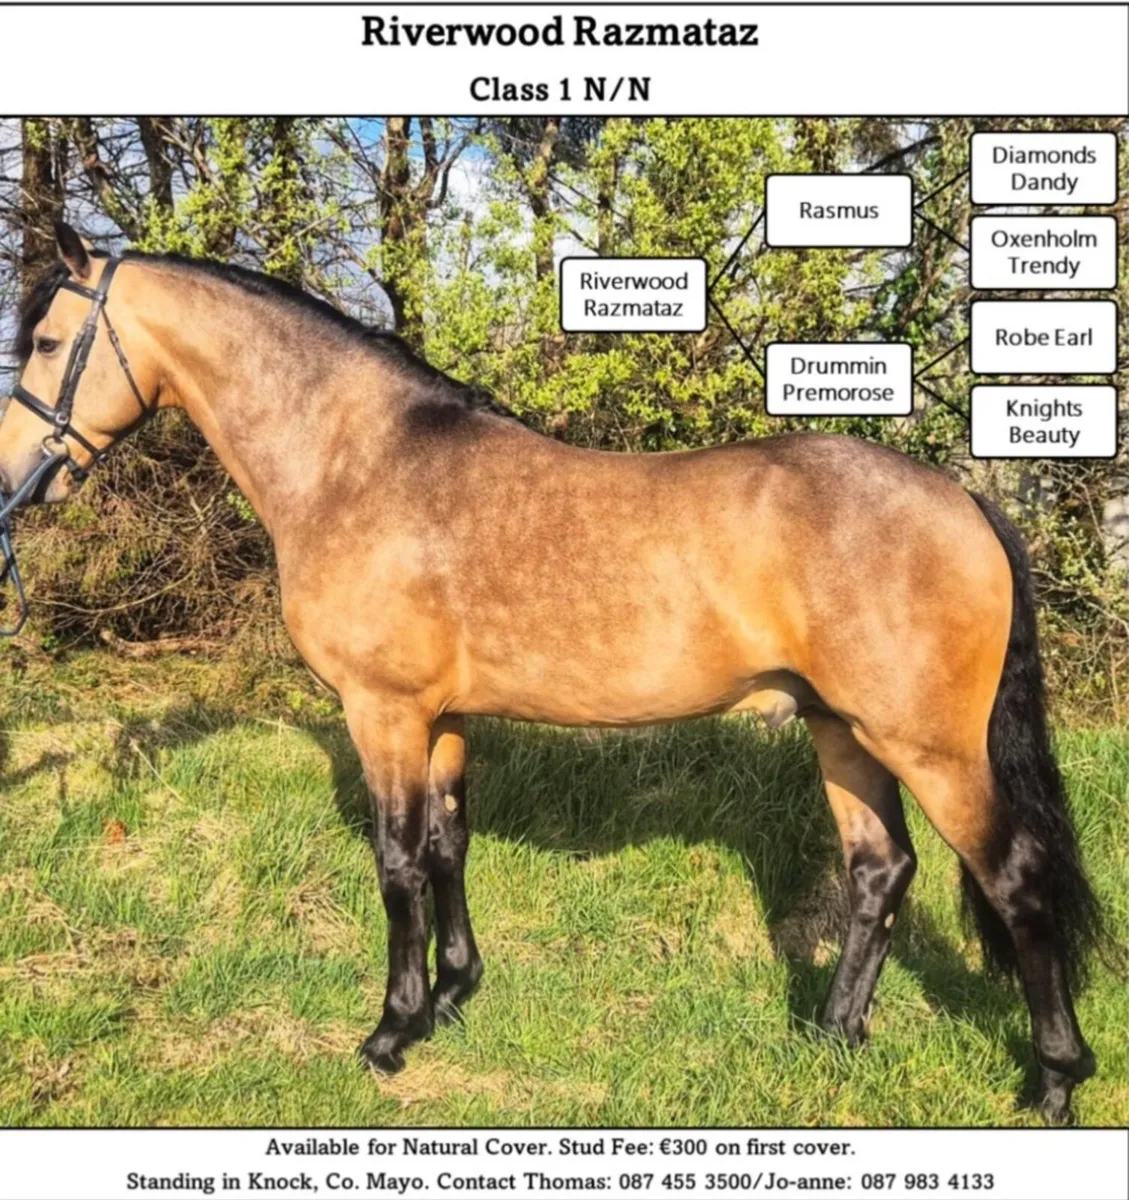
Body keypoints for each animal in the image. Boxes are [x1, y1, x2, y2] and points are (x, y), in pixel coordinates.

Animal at [0, 222, 1103, 1124]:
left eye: (47, 344)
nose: (17, 481)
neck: (360, 466)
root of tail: (960, 499)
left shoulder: (383, 712)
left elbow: (397, 863)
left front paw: (391, 1032)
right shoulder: (442, 717)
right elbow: (446, 846)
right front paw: (452, 994)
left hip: (929, 746)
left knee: (1012, 878)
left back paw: (1053, 1081)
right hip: (841, 731)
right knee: (880, 871)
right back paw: (832, 1035)